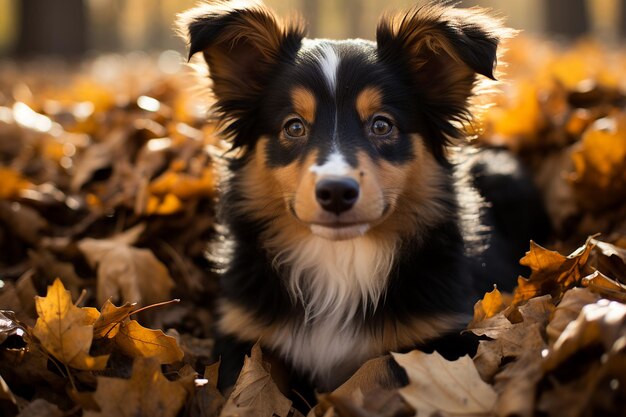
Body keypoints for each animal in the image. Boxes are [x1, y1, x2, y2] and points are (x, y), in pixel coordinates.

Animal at [177, 0, 544, 394]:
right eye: (294, 126)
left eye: (382, 124)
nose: (336, 192)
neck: (340, 259)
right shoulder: (244, 333)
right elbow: (242, 388)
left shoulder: (441, 338)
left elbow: (369, 376)